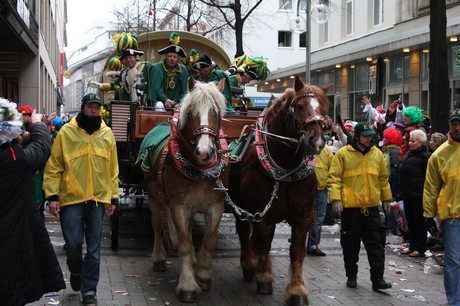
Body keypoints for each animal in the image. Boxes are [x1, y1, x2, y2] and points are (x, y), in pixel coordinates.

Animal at [140, 77, 226, 304]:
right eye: (191, 112)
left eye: (217, 112)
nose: (205, 151)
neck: (200, 170)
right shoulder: (179, 206)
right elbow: (185, 242)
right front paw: (187, 285)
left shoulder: (216, 205)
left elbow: (209, 240)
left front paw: (203, 275)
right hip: (154, 196)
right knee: (157, 223)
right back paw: (159, 258)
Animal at [227, 75, 328, 304]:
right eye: (299, 106)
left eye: (325, 109)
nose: (316, 141)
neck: (286, 168)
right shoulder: (260, 214)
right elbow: (263, 244)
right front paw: (264, 278)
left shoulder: (304, 217)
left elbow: (297, 252)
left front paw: (297, 289)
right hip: (239, 206)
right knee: (244, 231)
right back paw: (249, 264)